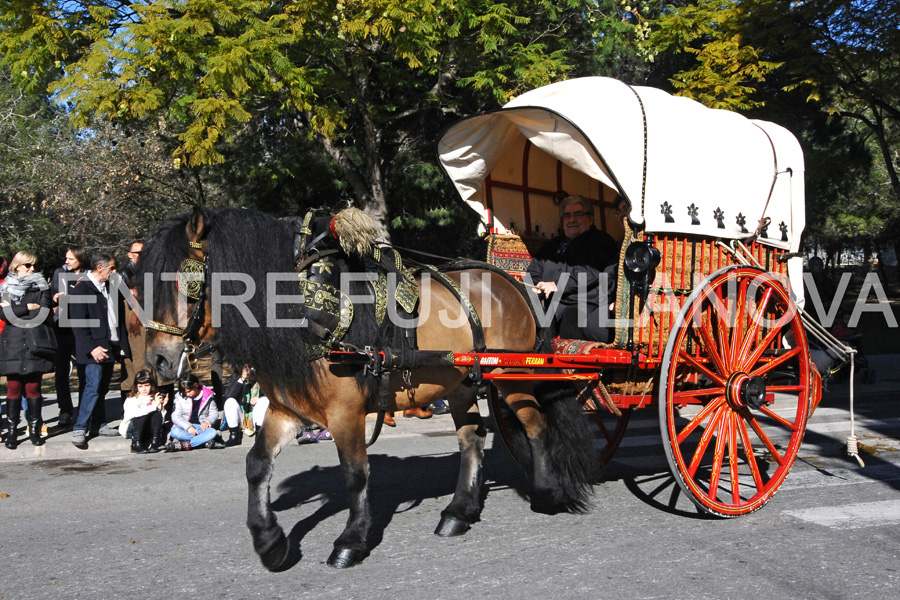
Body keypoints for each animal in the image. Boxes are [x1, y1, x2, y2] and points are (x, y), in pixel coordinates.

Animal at [137, 206, 596, 568]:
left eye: (184, 280)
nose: (157, 360)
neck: (308, 311)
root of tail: (511, 282)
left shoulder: (345, 413)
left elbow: (356, 474)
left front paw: (351, 541)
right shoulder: (288, 409)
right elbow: (256, 465)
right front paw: (269, 541)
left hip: (511, 377)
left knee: (536, 426)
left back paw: (547, 493)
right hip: (462, 383)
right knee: (472, 440)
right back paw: (458, 512)